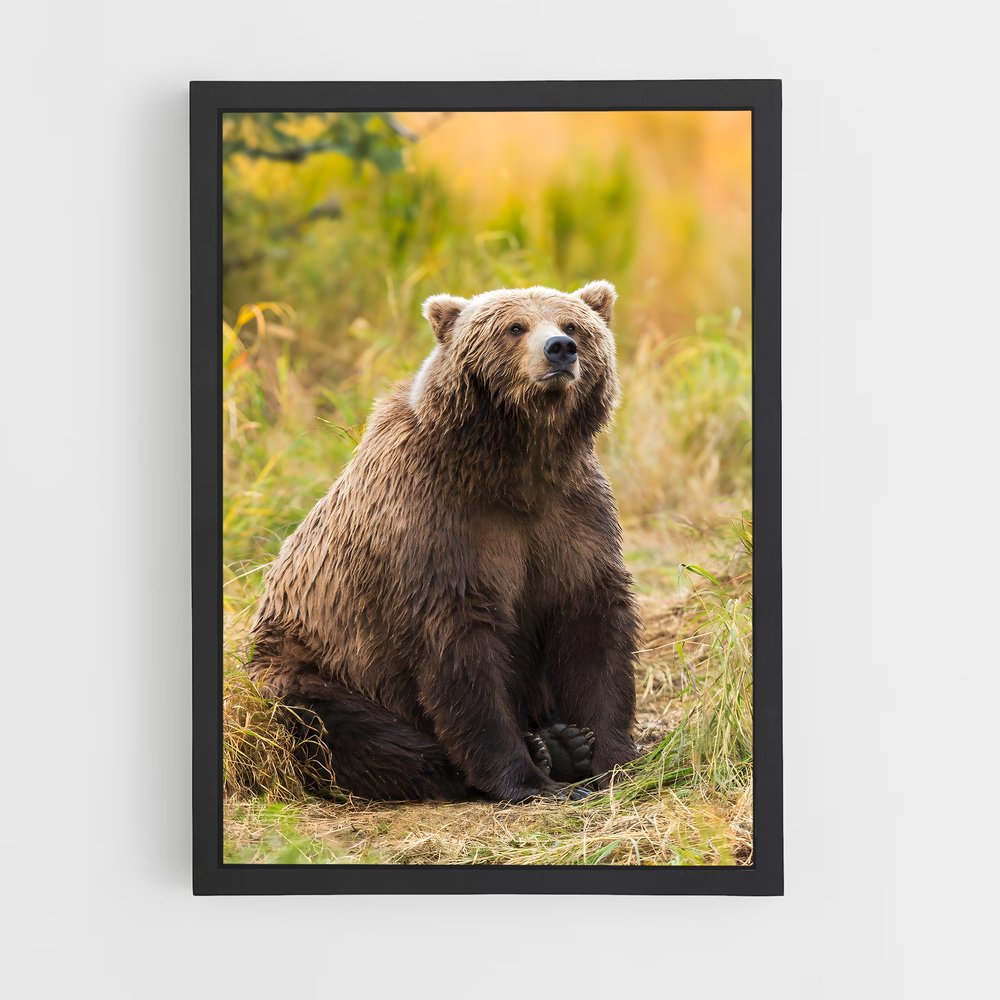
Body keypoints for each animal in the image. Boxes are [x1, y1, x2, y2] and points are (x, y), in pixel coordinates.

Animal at [248, 280, 640, 802]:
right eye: (515, 327)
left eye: (572, 324)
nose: (559, 349)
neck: (513, 466)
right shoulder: (435, 523)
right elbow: (460, 649)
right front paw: (528, 778)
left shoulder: (571, 515)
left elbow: (591, 623)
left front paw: (612, 757)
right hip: (304, 663)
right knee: (341, 727)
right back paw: (537, 751)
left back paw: (564, 744)